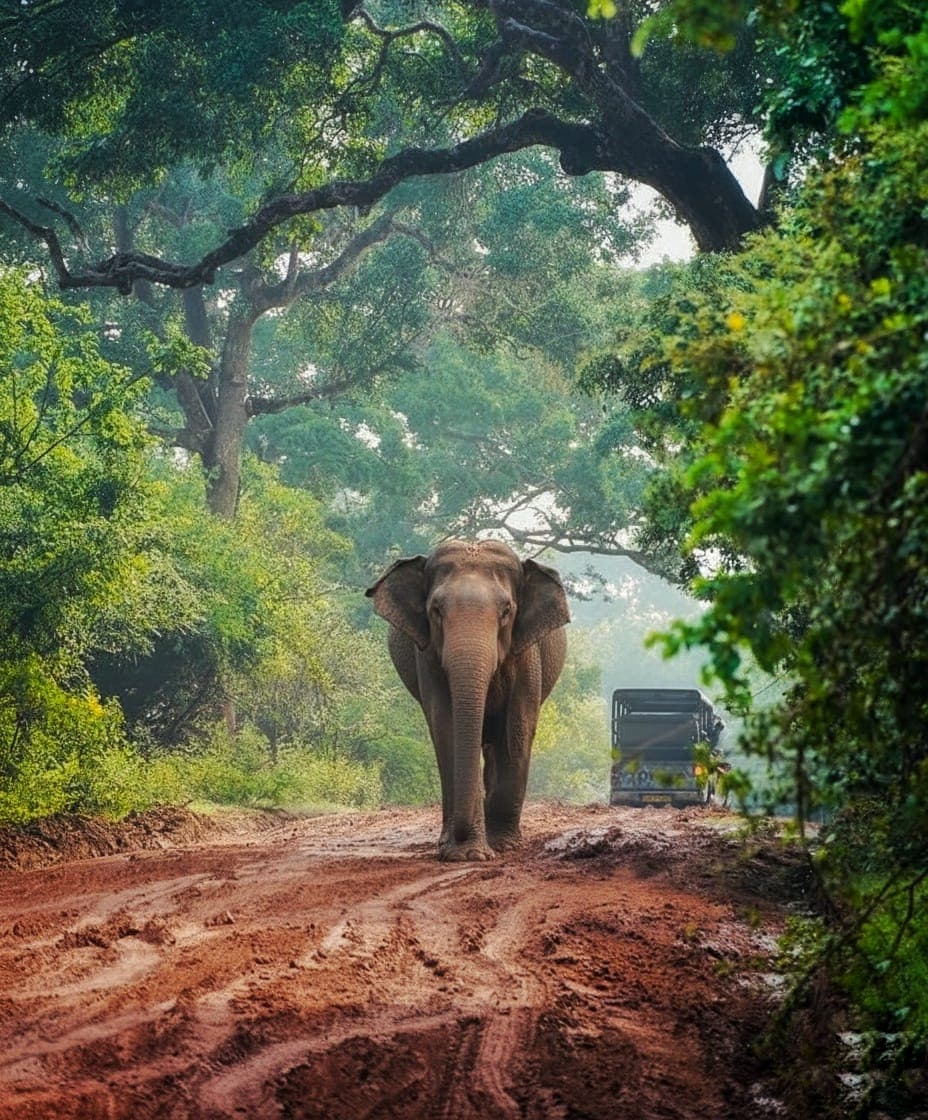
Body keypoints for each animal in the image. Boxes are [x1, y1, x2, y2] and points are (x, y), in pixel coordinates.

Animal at [365, 539, 570, 862]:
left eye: (507, 611)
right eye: (436, 610)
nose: (460, 835)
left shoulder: (527, 654)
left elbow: (517, 729)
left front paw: (502, 845)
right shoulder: (428, 657)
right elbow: (446, 726)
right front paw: (465, 854)